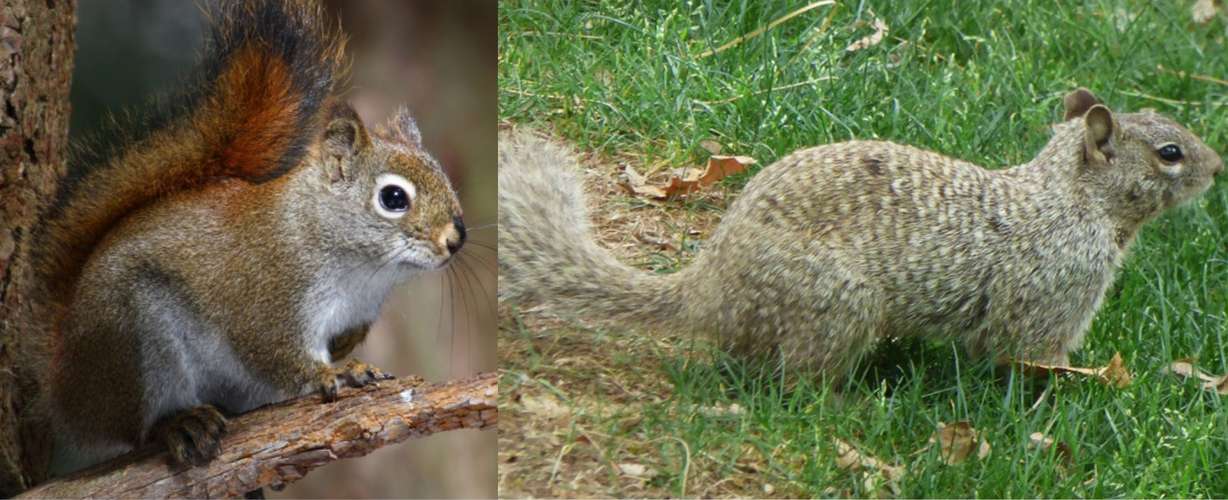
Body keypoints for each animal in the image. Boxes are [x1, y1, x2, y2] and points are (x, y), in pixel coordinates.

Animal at [26, 0, 465, 475]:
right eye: (393, 198)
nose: (456, 238)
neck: (359, 269)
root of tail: (63, 384)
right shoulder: (267, 299)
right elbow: (276, 353)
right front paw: (336, 373)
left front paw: (347, 351)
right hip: (134, 341)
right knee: (136, 426)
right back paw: (180, 423)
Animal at [499, 88, 1222, 380]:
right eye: (1170, 153)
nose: (1219, 166)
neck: (1070, 201)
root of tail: (708, 289)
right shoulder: (1054, 298)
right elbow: (1032, 357)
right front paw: (1091, 381)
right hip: (837, 302)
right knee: (793, 377)